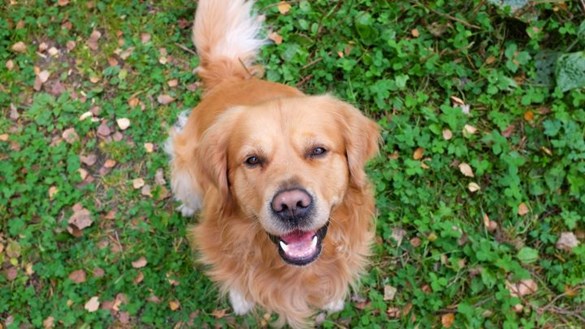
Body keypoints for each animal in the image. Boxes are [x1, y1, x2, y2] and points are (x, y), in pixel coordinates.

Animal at [165, 0, 378, 326]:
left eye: (318, 150)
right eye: (252, 160)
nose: (291, 206)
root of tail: (230, 79)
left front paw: (334, 297)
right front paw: (241, 299)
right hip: (186, 168)